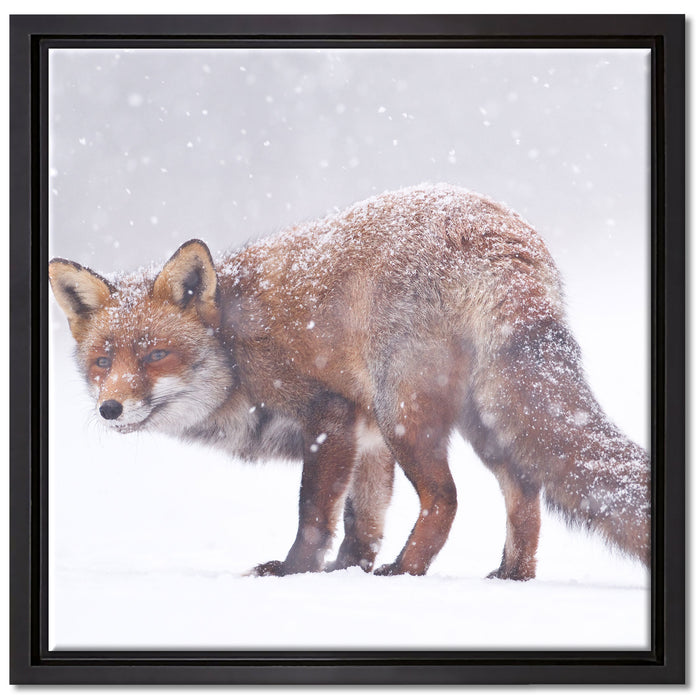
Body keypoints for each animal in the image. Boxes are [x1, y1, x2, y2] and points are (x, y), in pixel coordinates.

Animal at [49, 184, 650, 580]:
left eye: (156, 355)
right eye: (103, 361)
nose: (110, 408)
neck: (236, 347)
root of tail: (495, 232)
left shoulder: (330, 415)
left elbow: (314, 512)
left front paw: (295, 573)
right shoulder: (368, 439)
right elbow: (364, 520)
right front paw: (346, 572)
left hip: (405, 411)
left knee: (446, 498)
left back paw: (407, 572)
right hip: (482, 419)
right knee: (525, 493)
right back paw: (511, 576)